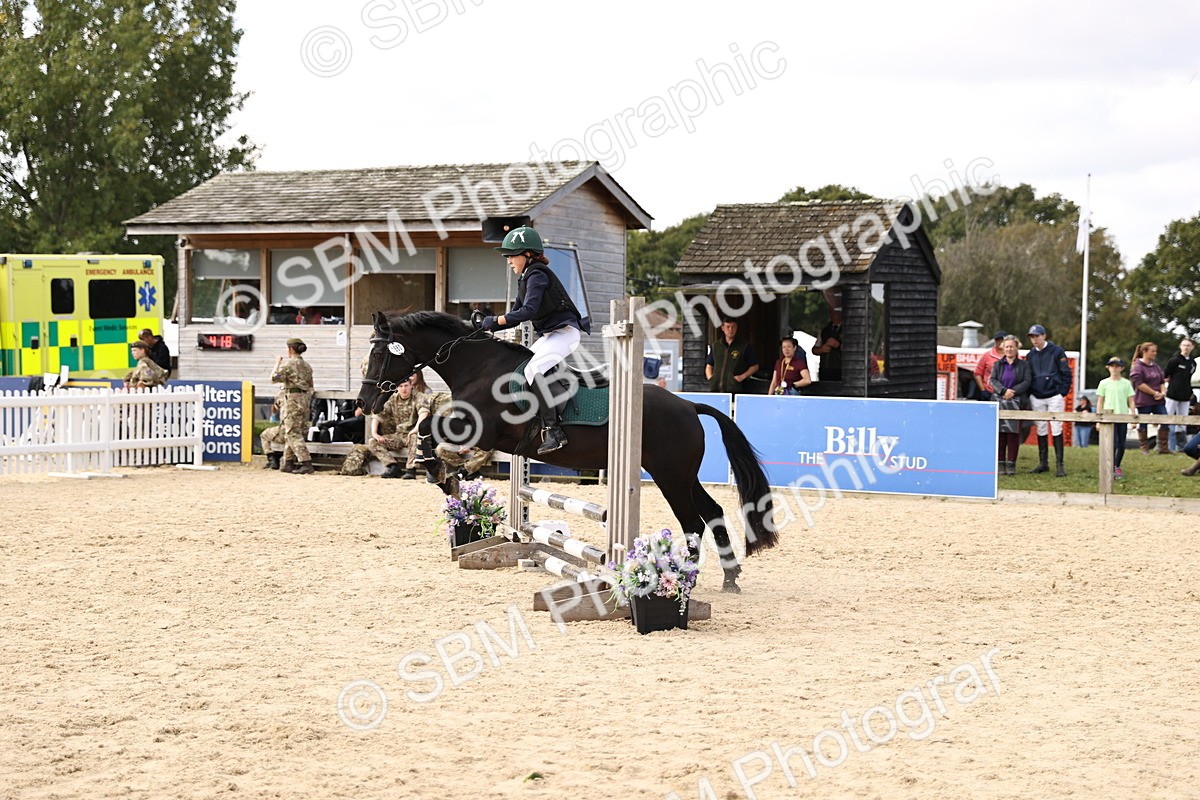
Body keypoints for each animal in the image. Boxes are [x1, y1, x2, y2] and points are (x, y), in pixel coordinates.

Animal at [357, 310, 779, 592]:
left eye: (379, 355)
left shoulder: (480, 430)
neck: (478, 368)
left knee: (693, 521)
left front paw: (438, 470)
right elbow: (428, 428)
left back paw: (684, 580)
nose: (363, 404)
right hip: (682, 476)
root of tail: (690, 406)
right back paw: (730, 577)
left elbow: (428, 427)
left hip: (670, 476)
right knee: (713, 511)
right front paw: (443, 475)